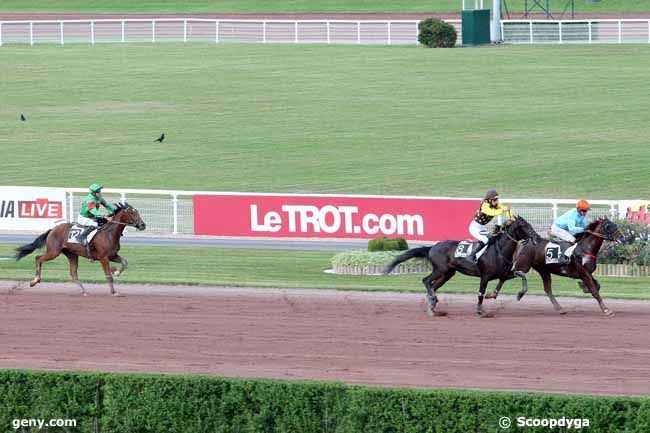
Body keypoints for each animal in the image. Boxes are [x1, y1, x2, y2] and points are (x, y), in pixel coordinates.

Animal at [13, 201, 146, 296]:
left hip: (72, 254)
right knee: (38, 258)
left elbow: (124, 262)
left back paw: (84, 291)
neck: (109, 233)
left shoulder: (112, 255)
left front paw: (116, 271)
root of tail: (53, 229)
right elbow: (108, 275)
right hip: (53, 252)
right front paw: (114, 292)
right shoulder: (103, 258)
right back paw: (34, 281)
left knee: (73, 273)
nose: (143, 225)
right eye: (132, 213)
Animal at [384, 215, 536, 314]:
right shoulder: (485, 276)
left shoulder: (504, 273)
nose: (535, 237)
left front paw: (518, 294)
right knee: (426, 281)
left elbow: (520, 275)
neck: (499, 250)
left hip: (448, 274)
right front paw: (480, 310)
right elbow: (481, 293)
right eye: (524, 226)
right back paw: (432, 299)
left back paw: (432, 303)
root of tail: (432, 247)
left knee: (433, 286)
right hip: (440, 269)